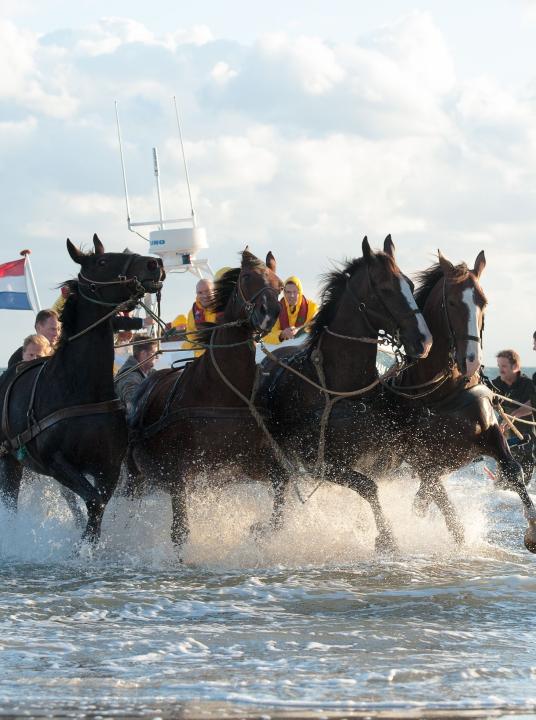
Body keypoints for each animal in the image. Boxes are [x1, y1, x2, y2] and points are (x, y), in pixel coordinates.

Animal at [0, 233, 164, 544]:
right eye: (102, 261)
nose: (155, 263)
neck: (79, 388)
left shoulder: (108, 467)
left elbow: (98, 505)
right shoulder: (56, 463)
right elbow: (94, 503)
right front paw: (82, 547)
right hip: (9, 460)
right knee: (10, 501)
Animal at [127, 248, 282, 552]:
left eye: (279, 284)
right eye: (247, 278)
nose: (269, 313)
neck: (219, 392)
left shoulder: (244, 464)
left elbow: (281, 490)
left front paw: (260, 530)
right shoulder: (179, 474)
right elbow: (180, 531)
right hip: (133, 478)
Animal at [253, 236, 434, 552]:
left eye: (411, 285)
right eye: (386, 288)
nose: (424, 341)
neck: (339, 388)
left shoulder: (381, 457)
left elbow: (374, 484)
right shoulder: (318, 461)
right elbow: (367, 487)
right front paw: (386, 536)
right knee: (280, 485)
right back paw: (272, 528)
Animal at [356, 250, 536, 556]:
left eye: (483, 301)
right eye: (451, 302)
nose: (472, 360)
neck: (444, 392)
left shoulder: (490, 432)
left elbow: (513, 470)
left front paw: (533, 530)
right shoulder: (423, 460)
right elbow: (443, 506)